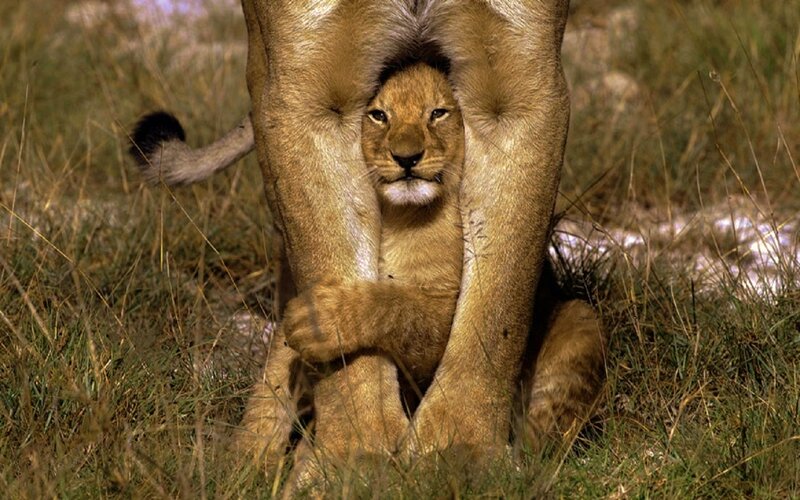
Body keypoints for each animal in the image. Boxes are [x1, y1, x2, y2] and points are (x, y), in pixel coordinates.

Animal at [131, 0, 606, 479]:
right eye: (378, 115)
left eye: (438, 113)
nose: (406, 157)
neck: (403, 216)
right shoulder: (305, 84)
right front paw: (352, 458)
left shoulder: (522, 77)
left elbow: (491, 310)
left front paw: (457, 453)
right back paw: (249, 457)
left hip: (582, 321)